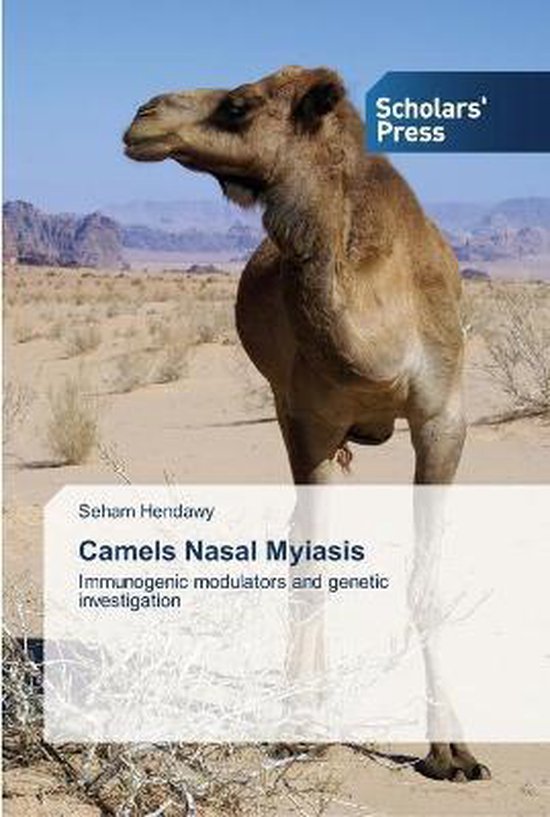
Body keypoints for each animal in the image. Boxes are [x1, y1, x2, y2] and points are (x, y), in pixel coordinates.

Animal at [123, 65, 490, 782]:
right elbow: (313, 563)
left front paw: (453, 754)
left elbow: (427, 582)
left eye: (237, 105)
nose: (143, 117)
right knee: (303, 542)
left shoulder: (443, 416)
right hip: (285, 409)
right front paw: (303, 727)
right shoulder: (311, 415)